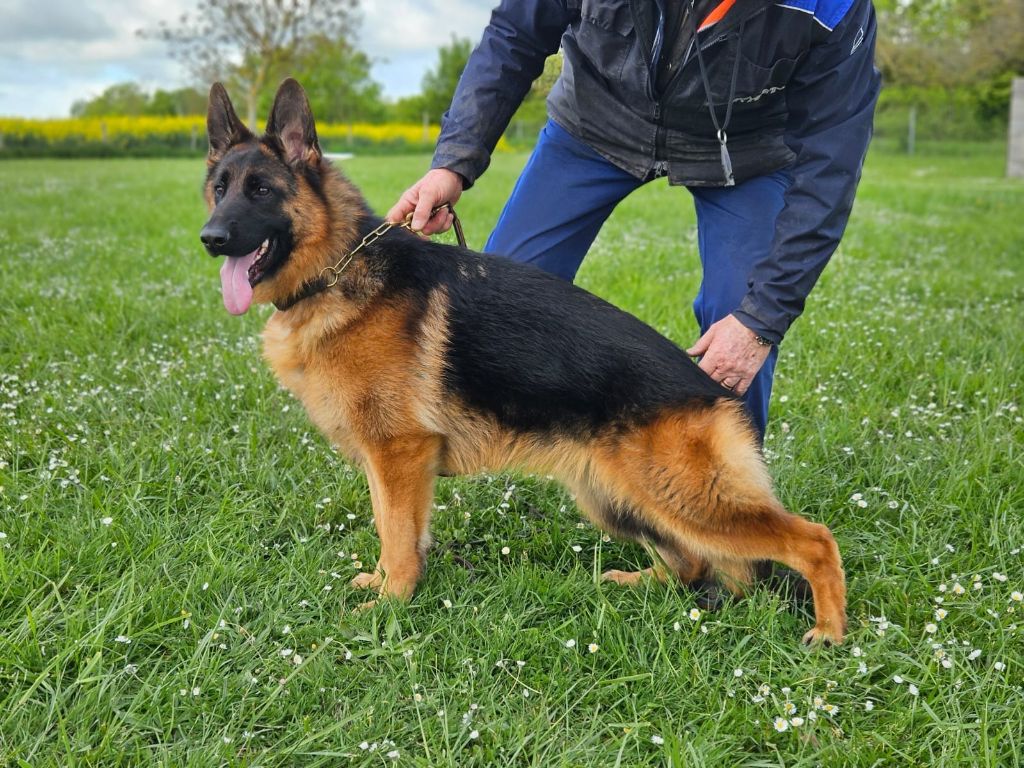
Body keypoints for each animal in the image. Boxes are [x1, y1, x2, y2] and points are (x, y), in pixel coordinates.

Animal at [199, 79, 846, 645]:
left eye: (261, 190)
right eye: (220, 189)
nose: (210, 238)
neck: (334, 269)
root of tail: (712, 387)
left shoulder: (399, 454)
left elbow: (398, 536)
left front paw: (390, 603)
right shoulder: (388, 463)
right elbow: (392, 529)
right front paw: (384, 588)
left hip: (681, 498)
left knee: (811, 540)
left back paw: (830, 632)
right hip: (616, 498)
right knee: (692, 565)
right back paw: (638, 583)